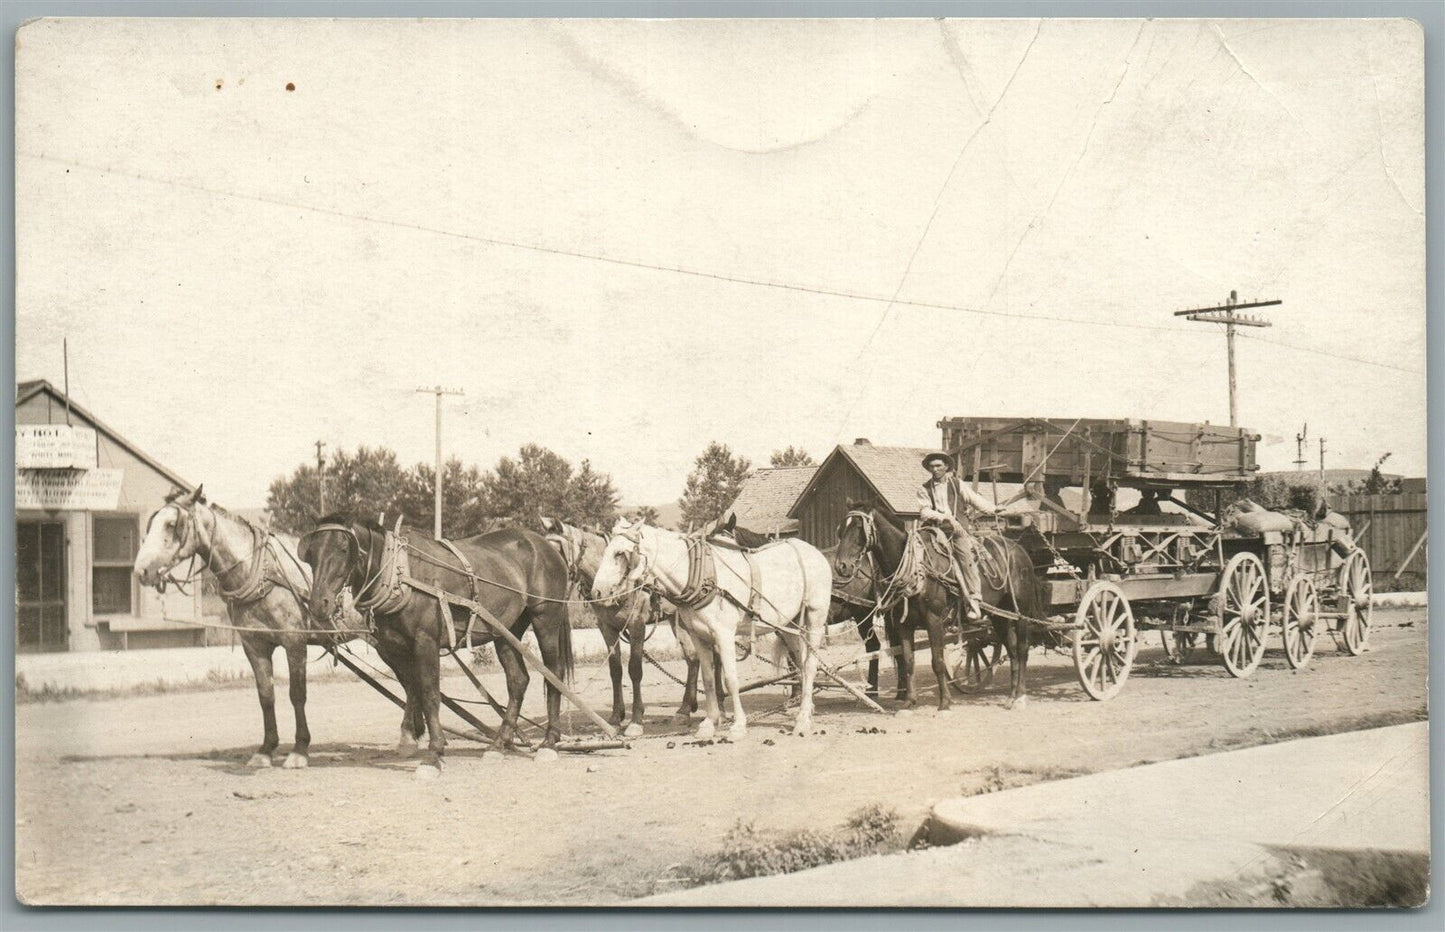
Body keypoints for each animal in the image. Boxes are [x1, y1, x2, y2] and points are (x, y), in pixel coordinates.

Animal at [302, 517, 572, 780]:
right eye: (311, 552)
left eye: (343, 548)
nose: (318, 604)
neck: (399, 573)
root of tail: (544, 544)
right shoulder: (394, 646)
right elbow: (411, 687)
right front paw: (409, 739)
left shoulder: (426, 641)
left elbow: (430, 693)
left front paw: (433, 754)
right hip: (506, 630)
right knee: (518, 680)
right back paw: (498, 744)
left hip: (545, 617)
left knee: (553, 674)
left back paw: (549, 743)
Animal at [586, 511, 832, 736]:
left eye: (620, 553)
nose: (597, 591)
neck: (702, 576)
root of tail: (816, 553)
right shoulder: (698, 635)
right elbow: (708, 678)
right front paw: (709, 722)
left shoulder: (724, 635)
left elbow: (730, 678)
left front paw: (738, 724)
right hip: (790, 624)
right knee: (801, 663)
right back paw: (806, 710)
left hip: (814, 619)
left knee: (810, 665)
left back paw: (802, 720)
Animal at [832, 505, 1046, 708]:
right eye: (840, 529)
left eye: (858, 527)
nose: (841, 566)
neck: (918, 569)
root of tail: (1020, 551)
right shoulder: (903, 623)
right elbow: (908, 661)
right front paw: (909, 701)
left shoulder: (933, 619)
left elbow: (938, 661)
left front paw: (945, 702)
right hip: (1000, 615)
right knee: (1012, 650)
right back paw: (1011, 696)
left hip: (1021, 613)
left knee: (1022, 649)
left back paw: (1020, 696)